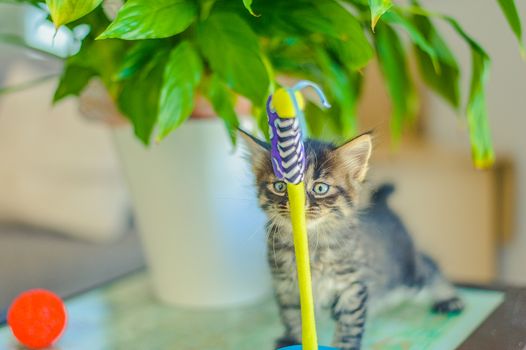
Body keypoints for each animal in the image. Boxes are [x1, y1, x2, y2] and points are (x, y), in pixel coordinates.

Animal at [241, 132, 464, 350]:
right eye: (280, 186)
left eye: (320, 188)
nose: (297, 206)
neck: (311, 245)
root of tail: (382, 206)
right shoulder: (286, 288)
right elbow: (292, 317)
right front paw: (292, 339)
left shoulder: (352, 287)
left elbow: (349, 325)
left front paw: (344, 346)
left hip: (407, 273)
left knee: (431, 267)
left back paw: (450, 299)